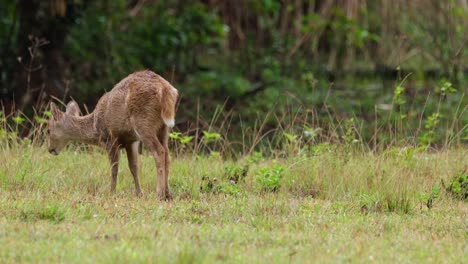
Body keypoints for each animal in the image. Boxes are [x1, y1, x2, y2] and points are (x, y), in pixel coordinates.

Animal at [46, 70, 177, 200]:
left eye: (48, 130)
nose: (50, 149)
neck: (95, 126)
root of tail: (165, 88)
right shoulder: (131, 140)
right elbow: (134, 166)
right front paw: (139, 193)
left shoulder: (110, 139)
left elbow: (114, 167)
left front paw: (111, 192)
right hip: (163, 128)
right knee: (167, 154)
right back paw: (168, 193)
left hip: (143, 123)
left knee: (159, 151)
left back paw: (159, 193)